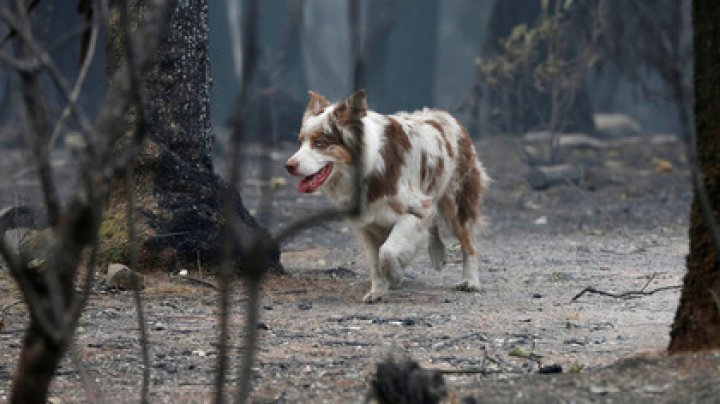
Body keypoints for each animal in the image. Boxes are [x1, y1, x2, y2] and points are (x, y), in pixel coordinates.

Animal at [286, 89, 490, 304]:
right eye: (300, 142)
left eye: (319, 143)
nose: (288, 166)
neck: (366, 172)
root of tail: (446, 115)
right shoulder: (367, 225)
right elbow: (375, 262)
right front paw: (377, 291)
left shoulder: (415, 209)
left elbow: (387, 252)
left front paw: (395, 275)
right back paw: (438, 254)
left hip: (457, 202)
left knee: (468, 243)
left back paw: (471, 281)